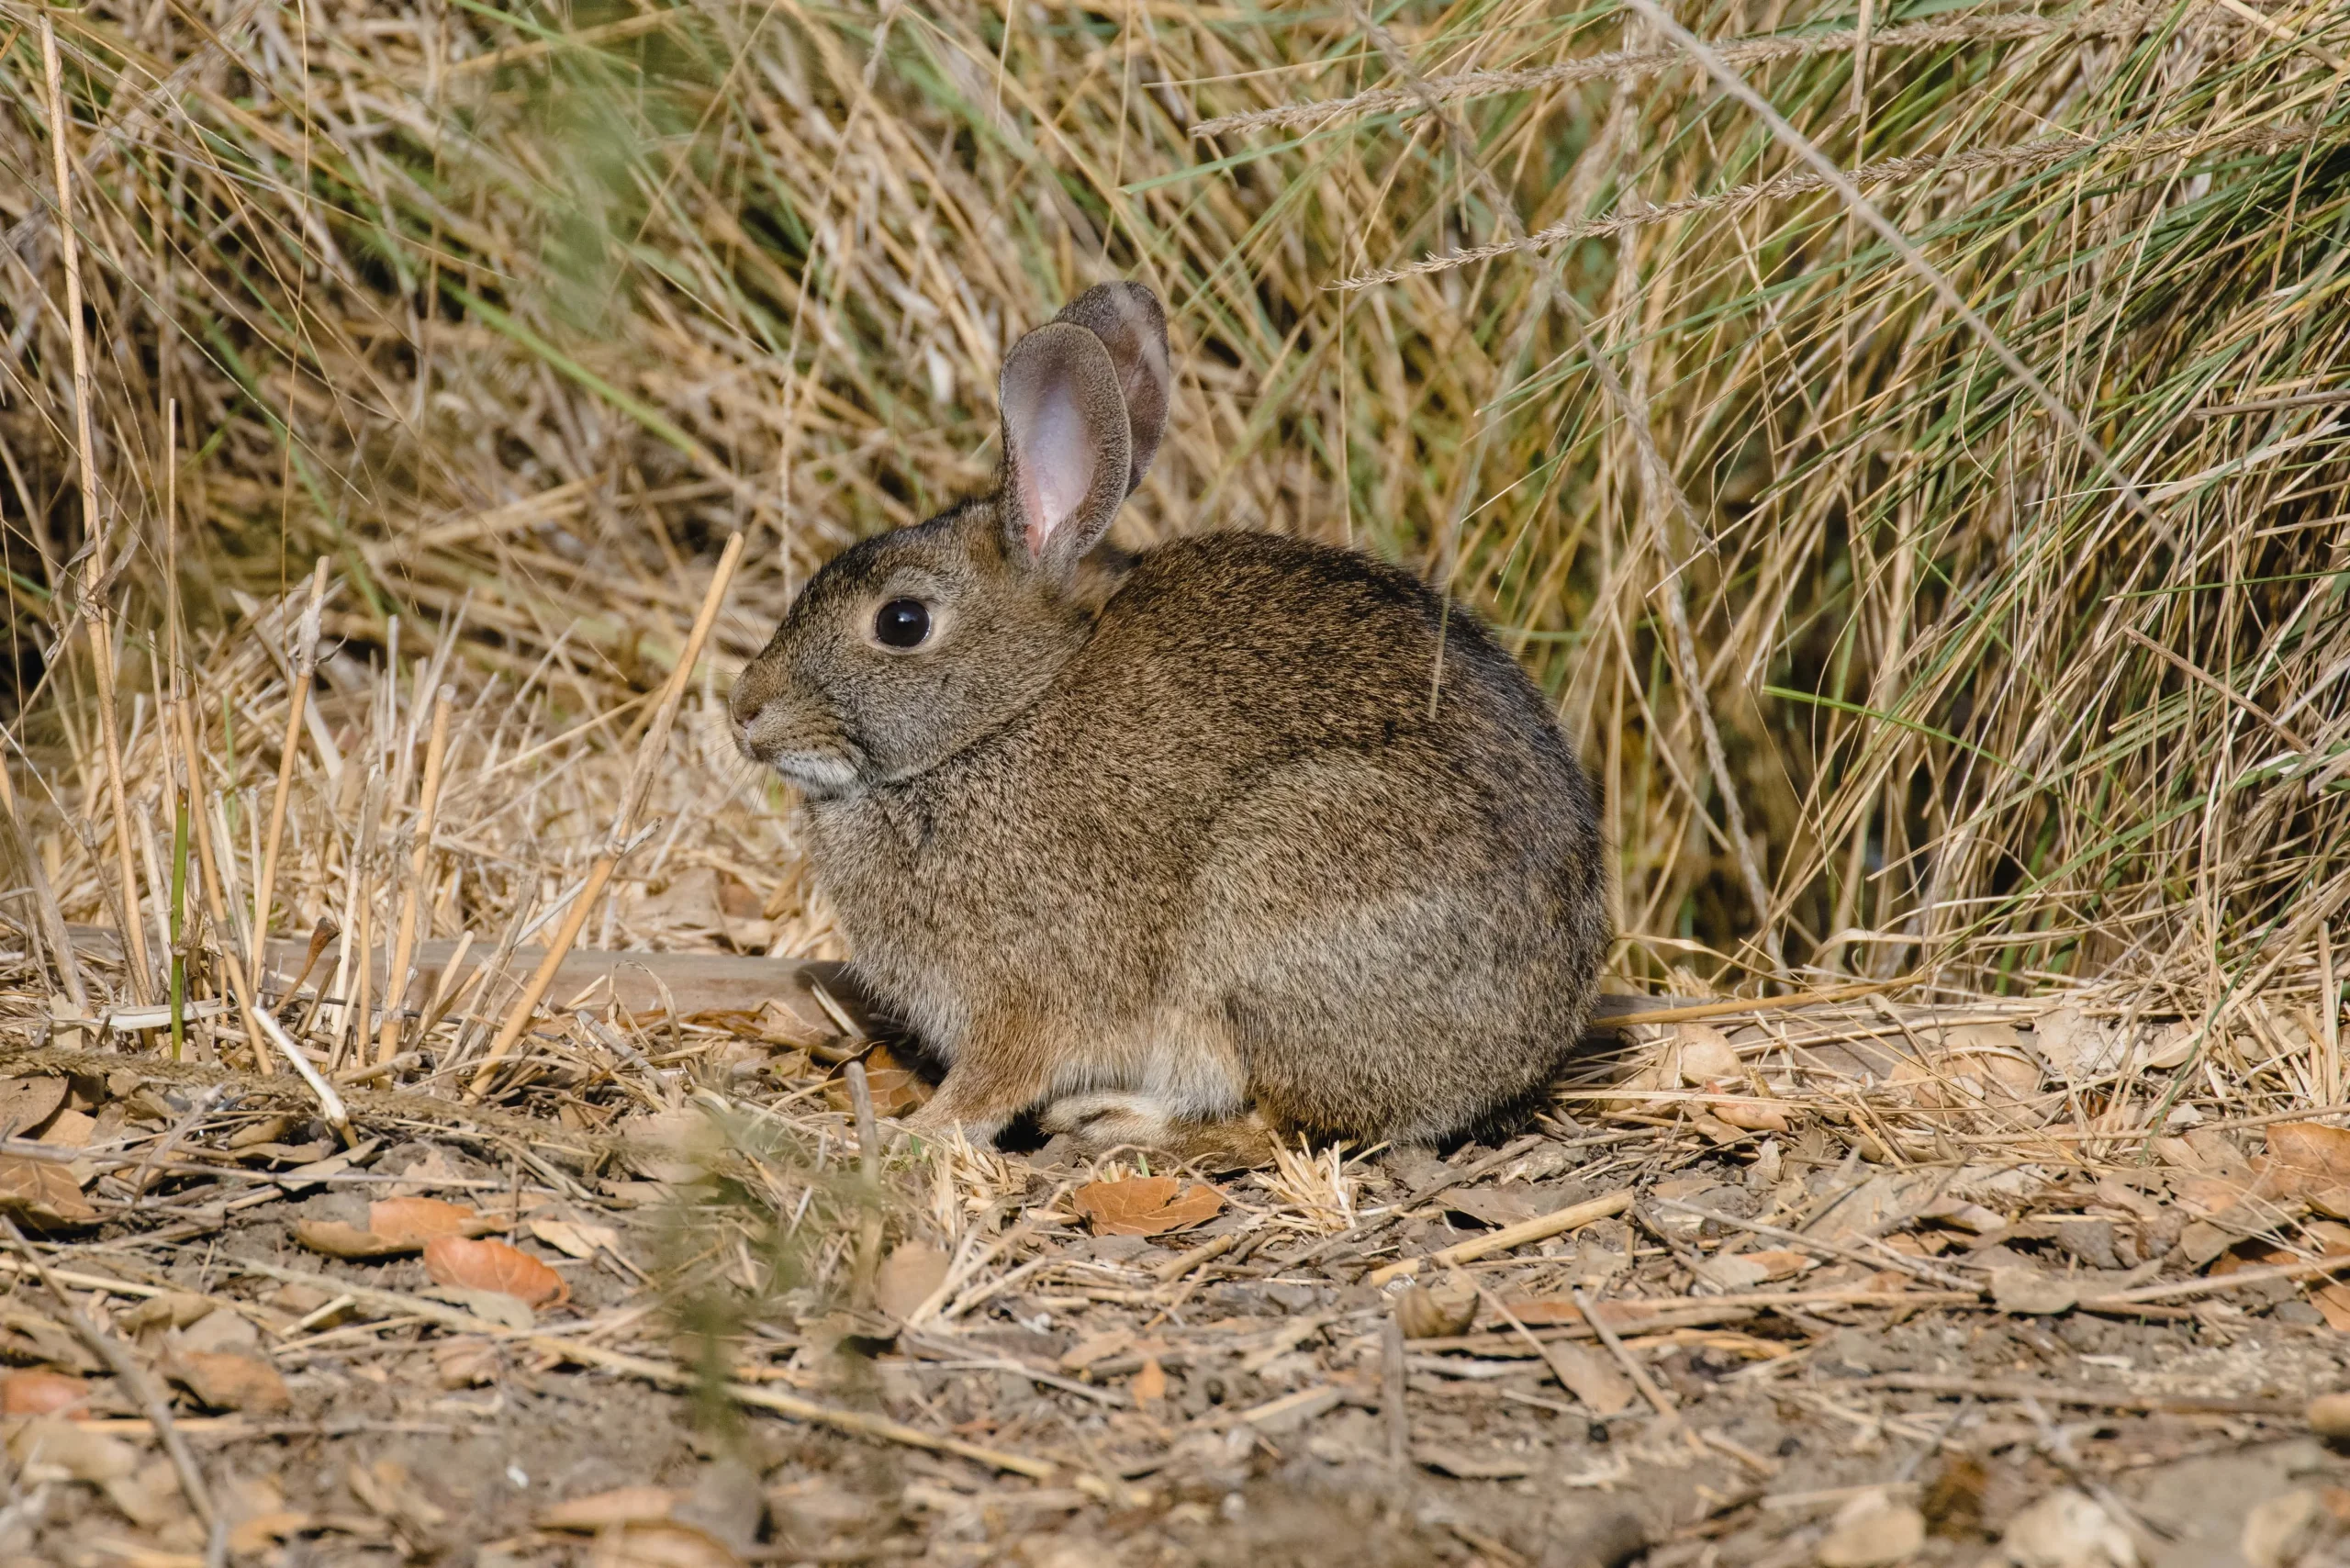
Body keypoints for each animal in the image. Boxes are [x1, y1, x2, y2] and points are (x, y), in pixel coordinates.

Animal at [733, 282, 1617, 1166]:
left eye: (903, 622)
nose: (745, 712)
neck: (1000, 718)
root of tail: (1528, 1050)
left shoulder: (1023, 992)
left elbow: (991, 1083)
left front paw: (909, 1136)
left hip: (1268, 913)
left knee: (1280, 1124)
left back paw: (1113, 1119)